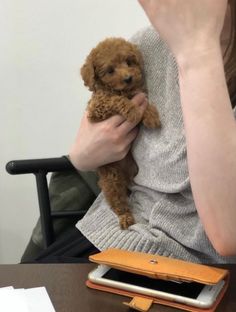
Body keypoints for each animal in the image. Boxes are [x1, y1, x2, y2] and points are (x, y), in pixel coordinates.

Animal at [80, 38, 160, 229]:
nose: (128, 78)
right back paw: (125, 218)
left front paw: (151, 116)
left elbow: (143, 101)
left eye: (129, 62)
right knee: (117, 201)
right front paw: (133, 111)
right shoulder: (97, 108)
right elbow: (116, 100)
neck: (120, 89)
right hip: (111, 178)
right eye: (110, 70)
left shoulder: (138, 93)